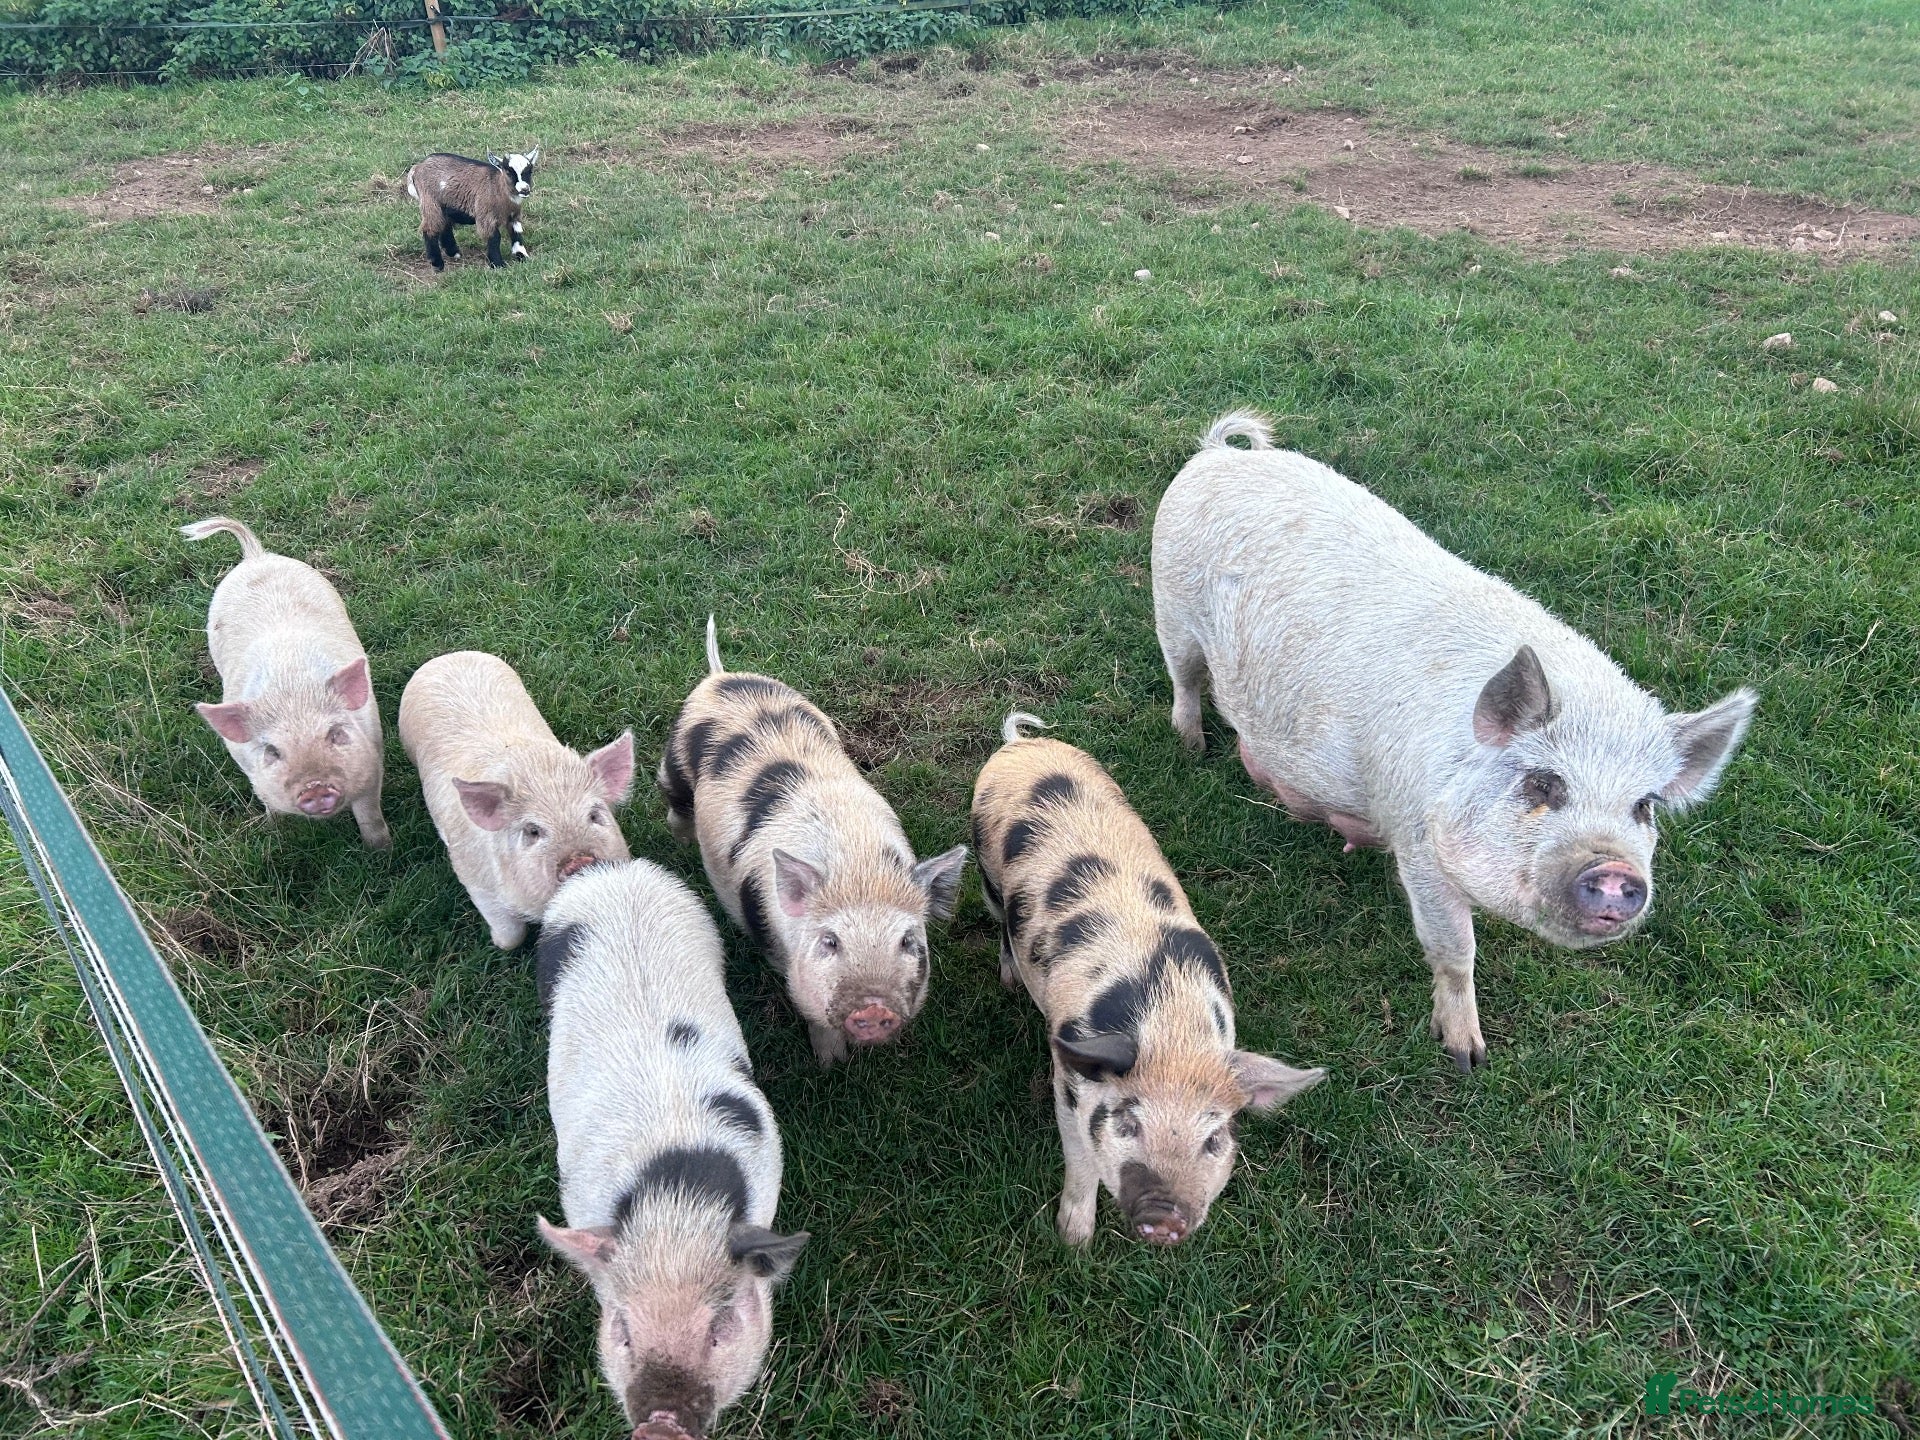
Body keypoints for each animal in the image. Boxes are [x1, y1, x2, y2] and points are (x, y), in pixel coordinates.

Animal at [180, 516, 390, 848]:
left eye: (335, 734)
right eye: (272, 751)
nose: (315, 787)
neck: (291, 691)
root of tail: (256, 556)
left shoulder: (372, 755)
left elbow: (370, 814)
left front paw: (381, 851)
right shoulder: (251, 768)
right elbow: (269, 803)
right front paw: (274, 833)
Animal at [398, 651, 633, 949]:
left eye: (594, 815)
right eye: (532, 831)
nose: (579, 859)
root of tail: (449, 656)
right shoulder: (474, 877)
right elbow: (511, 934)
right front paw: (498, 943)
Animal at [656, 617, 968, 1066]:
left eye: (907, 940)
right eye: (830, 941)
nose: (873, 1007)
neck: (857, 866)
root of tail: (720, 678)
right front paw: (831, 1065)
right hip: (674, 762)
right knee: (676, 804)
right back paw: (682, 842)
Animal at [972, 712, 1326, 1246]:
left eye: (1214, 1137)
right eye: (1128, 1120)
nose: (1162, 1217)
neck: (1172, 1024)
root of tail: (1020, 746)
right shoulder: (1070, 1080)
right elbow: (1081, 1158)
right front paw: (1074, 1243)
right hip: (986, 870)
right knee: (999, 926)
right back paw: (1011, 978)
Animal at [1152, 411, 1758, 1070]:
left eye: (1644, 807)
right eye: (1543, 783)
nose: (1616, 869)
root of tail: (1221, 456)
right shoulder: (1418, 842)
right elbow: (1454, 950)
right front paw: (1468, 1056)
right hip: (1171, 609)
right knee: (1185, 679)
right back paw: (1190, 747)